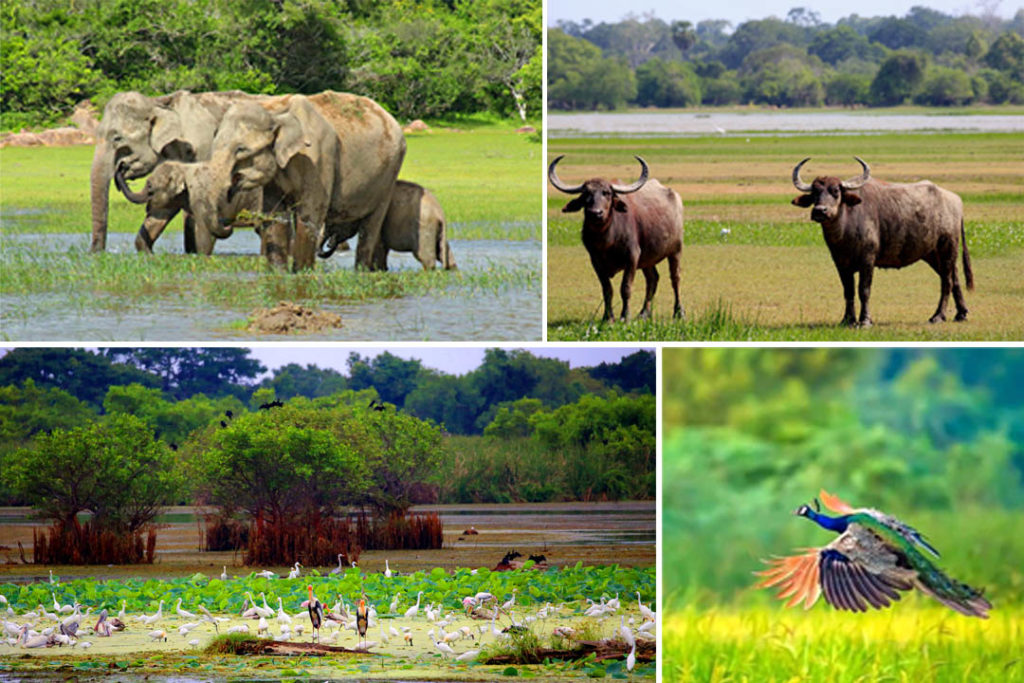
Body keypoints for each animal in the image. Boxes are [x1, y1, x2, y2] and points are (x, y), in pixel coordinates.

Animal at [548, 157, 684, 323]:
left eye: (606, 193)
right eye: (586, 195)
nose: (596, 213)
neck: (606, 241)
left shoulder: (632, 257)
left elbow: (625, 288)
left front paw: (625, 316)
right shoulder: (595, 261)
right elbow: (607, 289)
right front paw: (608, 317)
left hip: (676, 250)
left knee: (675, 279)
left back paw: (679, 312)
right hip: (647, 258)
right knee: (652, 279)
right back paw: (644, 313)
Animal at [794, 156, 970, 327]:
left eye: (836, 191)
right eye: (815, 193)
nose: (820, 211)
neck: (845, 228)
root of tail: (956, 201)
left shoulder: (867, 260)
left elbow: (864, 290)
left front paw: (865, 320)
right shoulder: (841, 263)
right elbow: (848, 291)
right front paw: (848, 319)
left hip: (947, 248)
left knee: (946, 281)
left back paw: (938, 316)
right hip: (933, 255)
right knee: (954, 279)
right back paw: (961, 314)